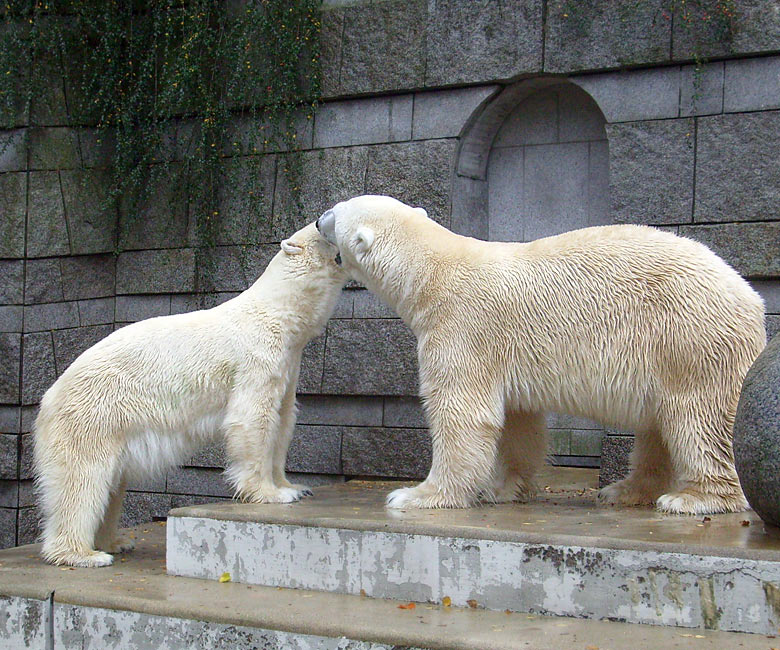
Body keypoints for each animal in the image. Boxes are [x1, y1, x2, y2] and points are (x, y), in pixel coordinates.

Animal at [33, 221, 344, 560]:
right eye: (317, 226)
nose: (321, 220)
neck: (277, 313)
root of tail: (49, 398)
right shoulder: (256, 359)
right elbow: (253, 419)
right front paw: (270, 494)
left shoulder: (288, 361)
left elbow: (284, 418)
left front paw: (293, 487)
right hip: (94, 415)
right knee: (82, 480)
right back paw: (83, 554)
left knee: (110, 485)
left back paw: (115, 542)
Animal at [316, 195, 768, 512]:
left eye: (336, 212)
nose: (318, 220)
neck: (432, 272)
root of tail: (752, 299)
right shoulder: (504, 350)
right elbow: (519, 421)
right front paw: (503, 488)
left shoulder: (462, 327)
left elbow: (462, 411)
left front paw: (418, 495)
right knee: (657, 426)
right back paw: (625, 491)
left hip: (689, 338)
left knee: (698, 418)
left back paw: (694, 499)